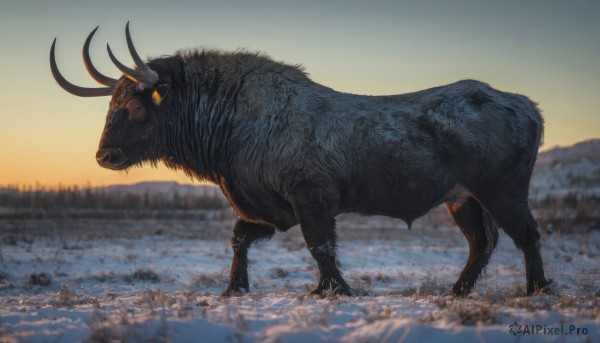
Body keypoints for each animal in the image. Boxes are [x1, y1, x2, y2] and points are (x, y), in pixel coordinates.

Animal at [49, 24, 552, 298]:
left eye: (136, 107)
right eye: (111, 106)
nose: (105, 154)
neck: (228, 126)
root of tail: (530, 109)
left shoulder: (311, 197)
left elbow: (321, 247)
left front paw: (336, 289)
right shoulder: (268, 209)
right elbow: (239, 238)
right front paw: (235, 286)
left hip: (502, 191)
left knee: (526, 235)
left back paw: (538, 288)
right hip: (460, 198)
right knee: (481, 243)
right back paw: (458, 289)